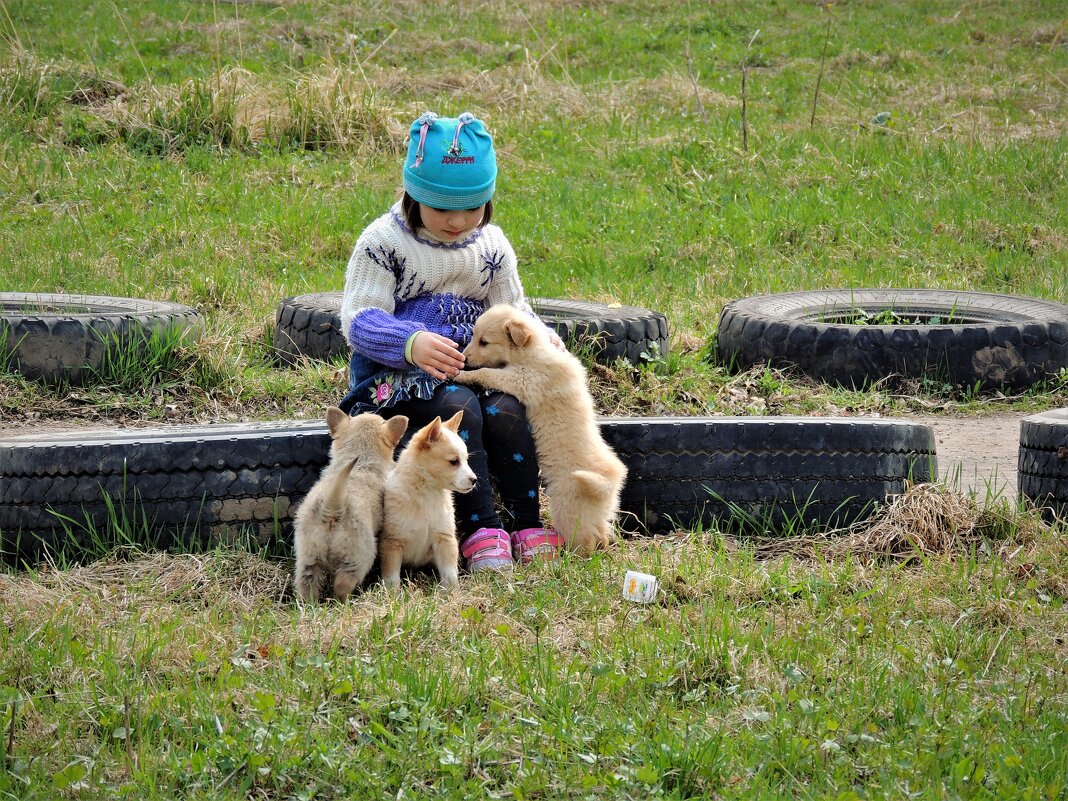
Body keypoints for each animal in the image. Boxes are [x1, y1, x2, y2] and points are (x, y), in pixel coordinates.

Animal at [292, 410, 407, 606]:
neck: (361, 461)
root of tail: (331, 509)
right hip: (359, 557)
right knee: (342, 585)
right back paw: (347, 603)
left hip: (308, 557)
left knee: (307, 585)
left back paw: (309, 605)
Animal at [378, 414, 474, 589]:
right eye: (454, 461)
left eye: (466, 460)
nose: (474, 480)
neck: (426, 494)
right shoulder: (392, 543)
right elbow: (391, 578)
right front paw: (392, 593)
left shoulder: (445, 539)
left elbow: (450, 574)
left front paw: (452, 592)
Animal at [452, 303, 623, 555]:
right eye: (474, 336)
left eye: (484, 341)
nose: (463, 358)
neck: (531, 351)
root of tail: (608, 482)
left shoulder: (521, 379)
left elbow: (487, 373)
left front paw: (463, 375)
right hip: (596, 513)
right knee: (600, 532)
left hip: (568, 509)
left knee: (585, 540)